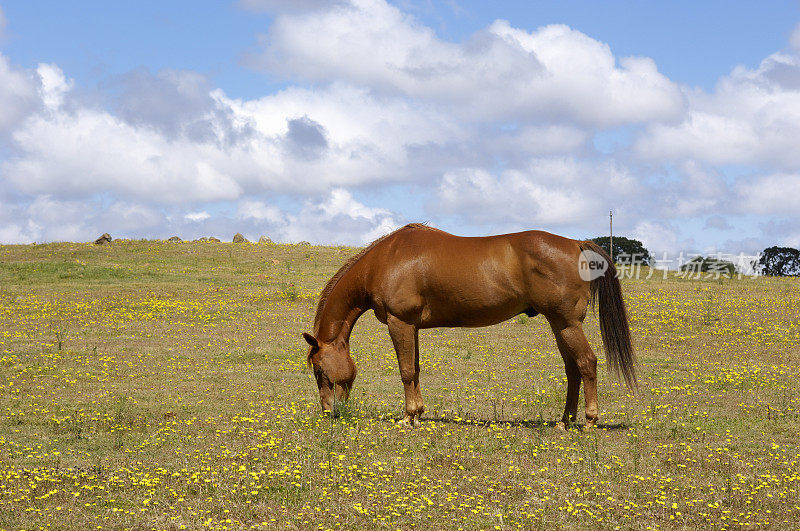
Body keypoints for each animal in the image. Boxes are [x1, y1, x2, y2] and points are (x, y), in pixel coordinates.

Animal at [304, 222, 636, 430]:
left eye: (319, 369)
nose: (329, 411)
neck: (386, 260)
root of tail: (576, 245)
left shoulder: (400, 323)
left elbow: (406, 371)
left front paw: (409, 418)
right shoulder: (412, 327)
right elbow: (416, 370)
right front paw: (419, 414)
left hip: (567, 324)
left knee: (587, 363)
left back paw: (589, 420)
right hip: (559, 325)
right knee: (573, 370)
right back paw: (564, 421)